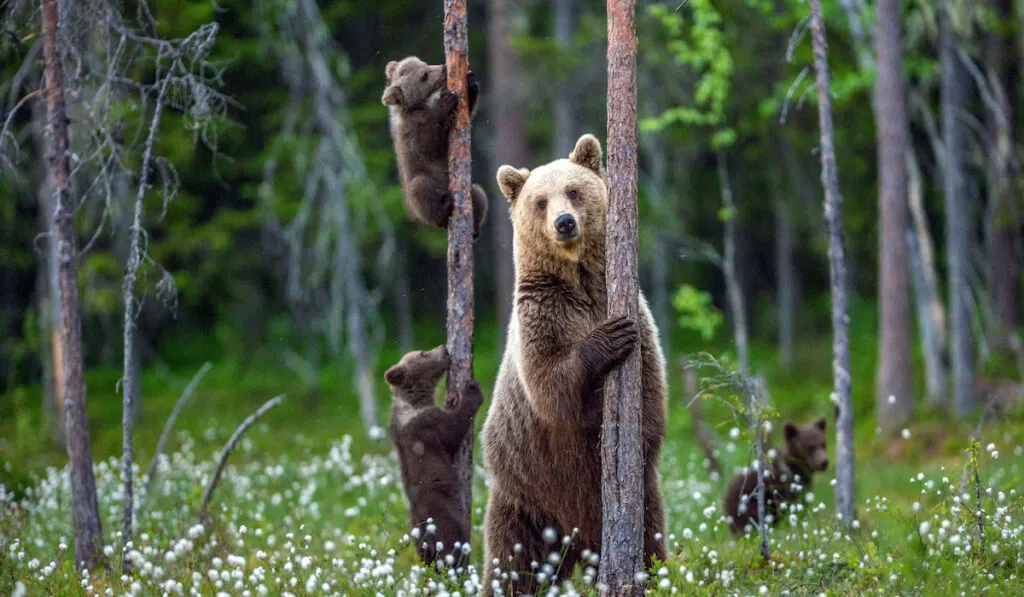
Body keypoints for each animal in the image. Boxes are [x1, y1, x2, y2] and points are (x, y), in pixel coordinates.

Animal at [385, 56, 487, 238]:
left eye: (424, 63)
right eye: (424, 75)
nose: (444, 67)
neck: (419, 106)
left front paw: (470, 83)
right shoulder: (412, 133)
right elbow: (428, 144)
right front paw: (445, 100)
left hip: (470, 191)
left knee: (478, 192)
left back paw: (475, 227)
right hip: (418, 195)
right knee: (420, 188)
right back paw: (444, 206)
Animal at [385, 346, 483, 565]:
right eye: (423, 353)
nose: (444, 348)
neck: (414, 402)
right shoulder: (428, 427)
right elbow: (454, 428)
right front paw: (473, 389)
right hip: (445, 519)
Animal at [481, 135, 667, 597]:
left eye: (574, 190)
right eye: (540, 201)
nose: (564, 222)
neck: (579, 281)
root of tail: (576, 540)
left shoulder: (636, 315)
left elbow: (650, 392)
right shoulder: (542, 316)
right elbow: (551, 386)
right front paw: (609, 338)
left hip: (641, 500)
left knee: (651, 536)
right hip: (525, 495)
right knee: (513, 560)